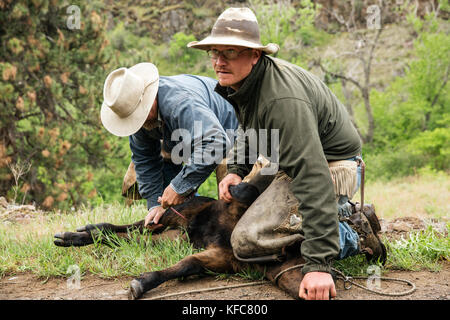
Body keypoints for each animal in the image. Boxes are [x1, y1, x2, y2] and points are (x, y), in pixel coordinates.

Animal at [52, 172, 306, 300]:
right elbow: (246, 191)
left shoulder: (221, 257)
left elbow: (187, 264)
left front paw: (141, 284)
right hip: (171, 216)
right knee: (133, 226)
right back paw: (78, 233)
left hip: (172, 238)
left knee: (128, 237)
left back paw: (76, 237)